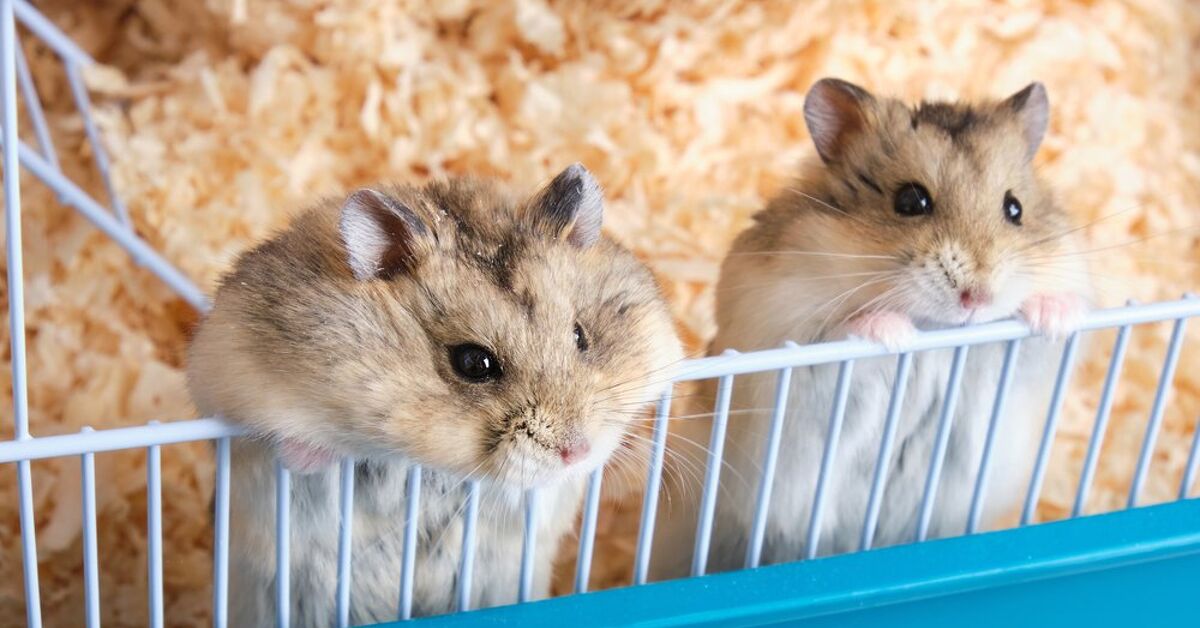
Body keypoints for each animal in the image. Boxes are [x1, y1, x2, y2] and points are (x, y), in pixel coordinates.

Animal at [187, 163, 682, 625]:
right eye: (474, 363)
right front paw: (308, 453)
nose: (577, 453)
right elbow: (289, 443)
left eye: (580, 336)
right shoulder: (230, 376)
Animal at [650, 79, 1090, 579]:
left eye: (1014, 208)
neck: (939, 330)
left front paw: (1057, 316)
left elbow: (1042, 335)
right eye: (910, 201)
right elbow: (842, 330)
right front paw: (895, 335)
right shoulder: (784, 337)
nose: (975, 298)